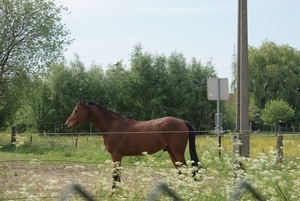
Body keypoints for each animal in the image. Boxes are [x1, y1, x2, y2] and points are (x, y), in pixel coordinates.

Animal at [66, 99, 202, 186]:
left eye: (76, 111)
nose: (67, 124)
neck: (113, 126)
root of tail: (182, 121)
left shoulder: (117, 155)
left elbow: (115, 175)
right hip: (171, 152)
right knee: (180, 170)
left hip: (177, 152)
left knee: (186, 169)